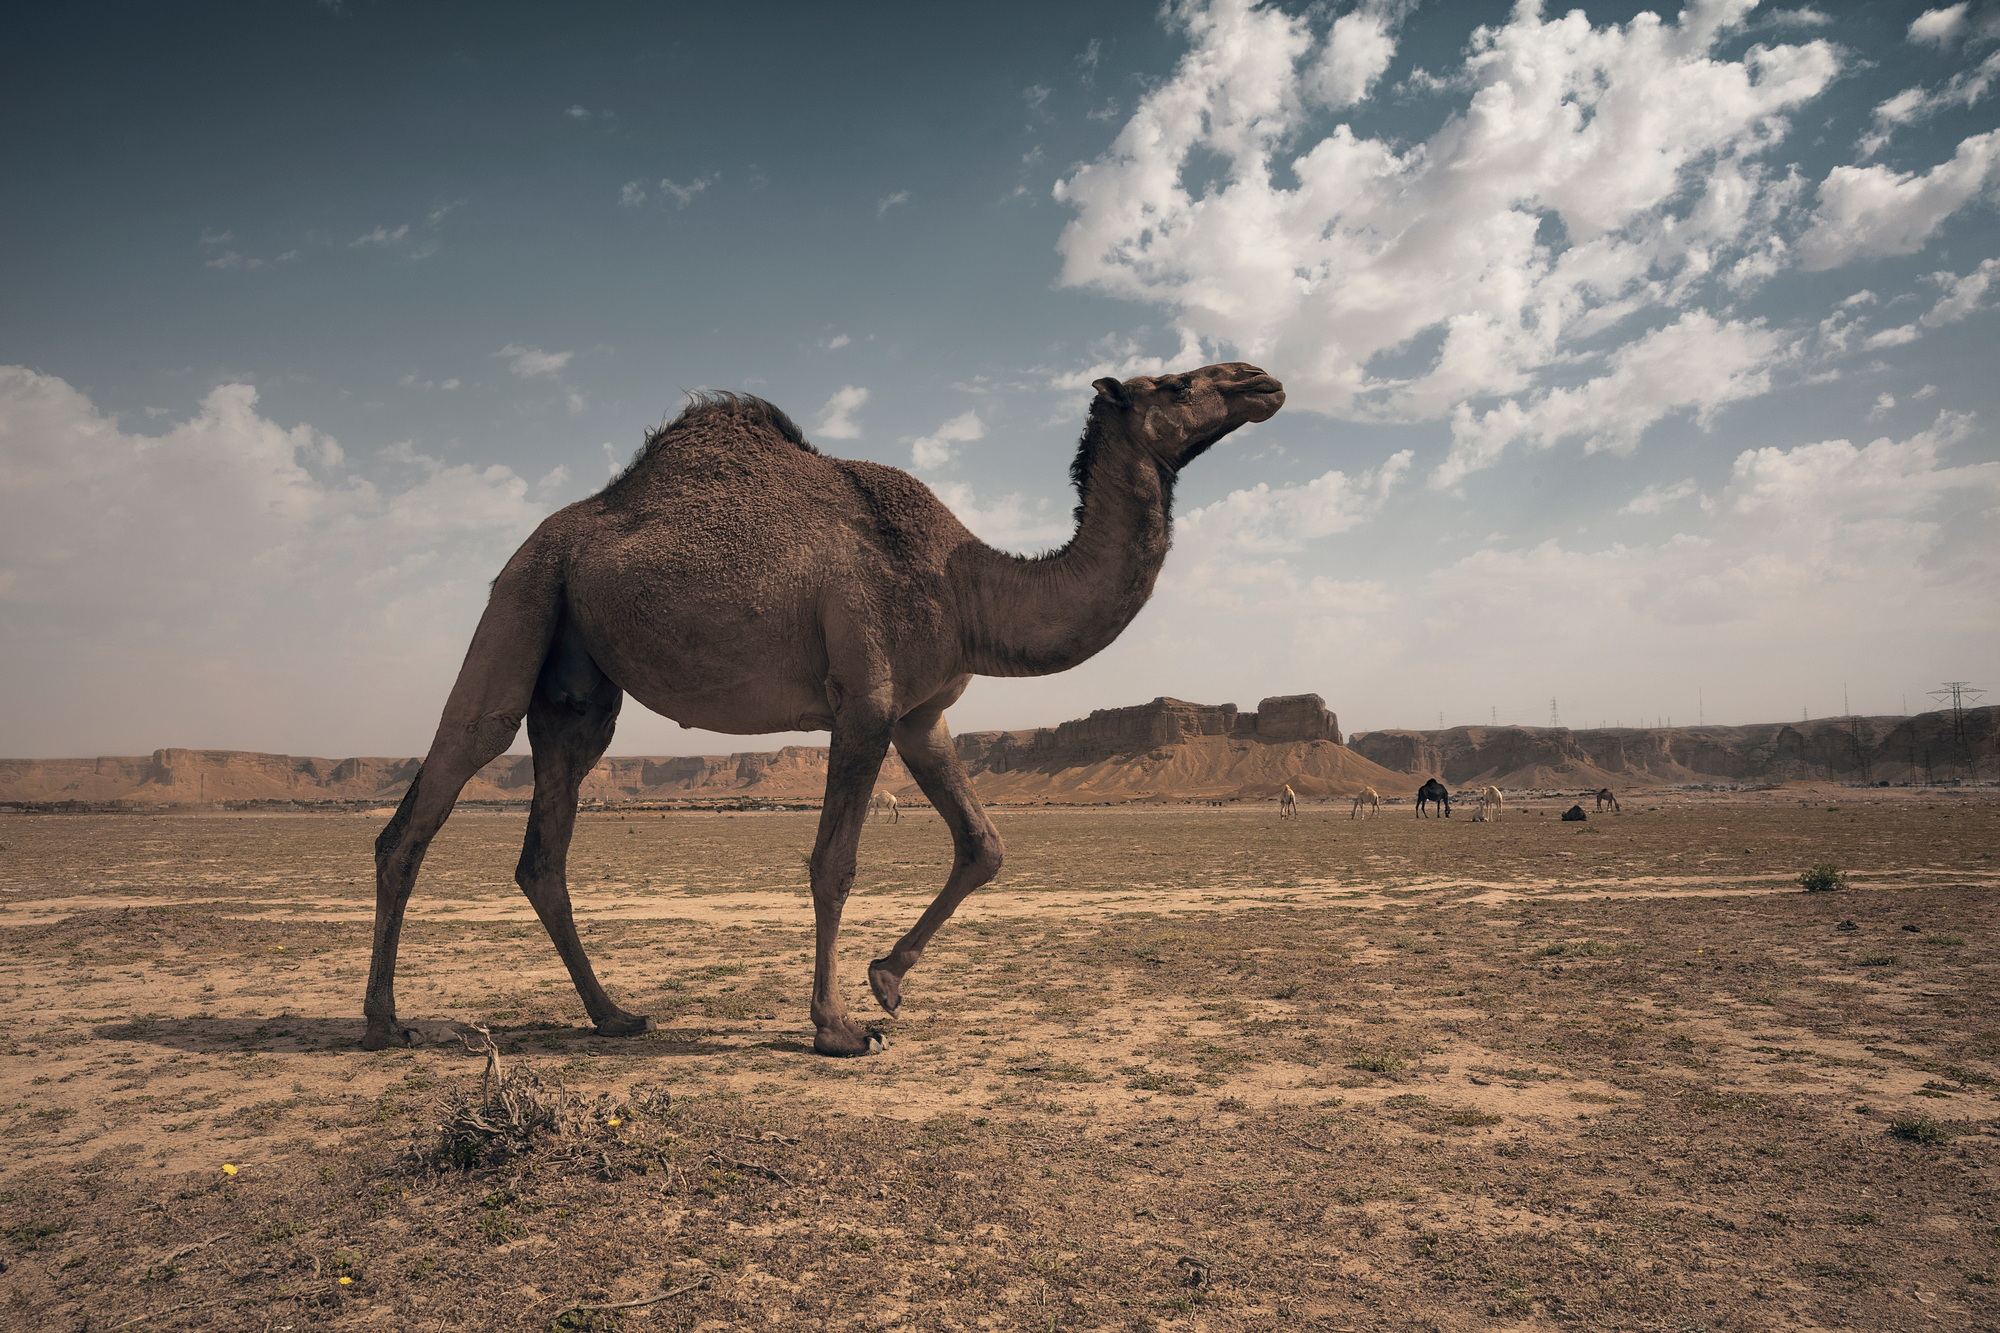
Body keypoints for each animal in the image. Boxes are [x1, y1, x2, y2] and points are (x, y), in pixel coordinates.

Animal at [360, 358, 1280, 1056]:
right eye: (1176, 381)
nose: (1260, 379)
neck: (967, 584)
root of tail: (538, 539)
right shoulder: (866, 703)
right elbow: (833, 863)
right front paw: (839, 1026)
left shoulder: (921, 714)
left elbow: (983, 845)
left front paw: (887, 981)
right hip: (521, 595)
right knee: (434, 790)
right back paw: (383, 1021)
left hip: (579, 680)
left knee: (544, 851)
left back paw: (614, 1014)